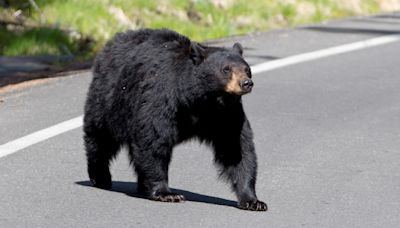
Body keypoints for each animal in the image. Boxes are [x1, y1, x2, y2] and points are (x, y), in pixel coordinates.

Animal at [83, 29, 268, 212]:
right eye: (226, 69)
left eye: (247, 69)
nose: (246, 83)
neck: (199, 101)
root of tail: (112, 42)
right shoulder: (162, 97)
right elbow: (154, 139)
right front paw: (166, 193)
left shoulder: (226, 113)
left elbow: (236, 148)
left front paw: (253, 200)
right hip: (110, 99)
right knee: (101, 138)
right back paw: (100, 177)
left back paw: (141, 185)